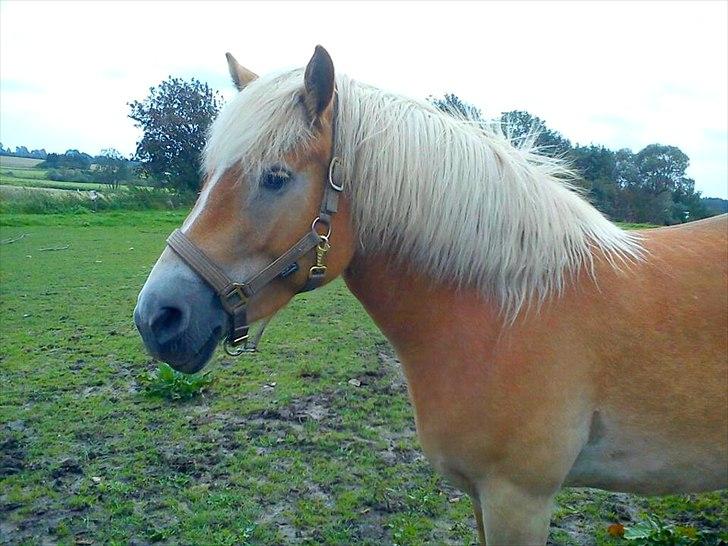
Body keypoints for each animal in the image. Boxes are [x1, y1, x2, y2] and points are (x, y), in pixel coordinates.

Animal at [134, 45, 724, 540]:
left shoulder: (518, 499)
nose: (157, 317)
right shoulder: (483, 498)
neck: (506, 311)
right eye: (208, 175)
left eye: (275, 177)